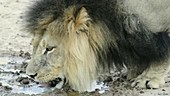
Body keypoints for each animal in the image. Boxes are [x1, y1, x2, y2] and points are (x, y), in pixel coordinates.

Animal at [24, 0, 170, 92]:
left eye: (49, 49)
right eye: (34, 45)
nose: (30, 75)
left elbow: (163, 54)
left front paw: (148, 78)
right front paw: (135, 72)